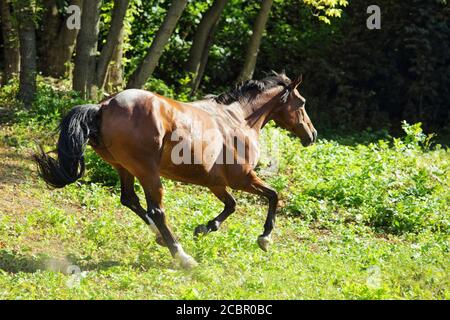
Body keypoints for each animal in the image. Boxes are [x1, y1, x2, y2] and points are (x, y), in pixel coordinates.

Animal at [34, 72, 316, 268]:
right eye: (301, 102)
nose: (311, 135)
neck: (237, 120)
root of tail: (103, 107)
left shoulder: (216, 183)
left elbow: (232, 205)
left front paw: (204, 228)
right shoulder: (242, 178)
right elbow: (273, 195)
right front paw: (265, 238)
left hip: (124, 168)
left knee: (130, 200)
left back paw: (160, 237)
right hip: (148, 172)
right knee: (156, 211)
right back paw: (182, 257)